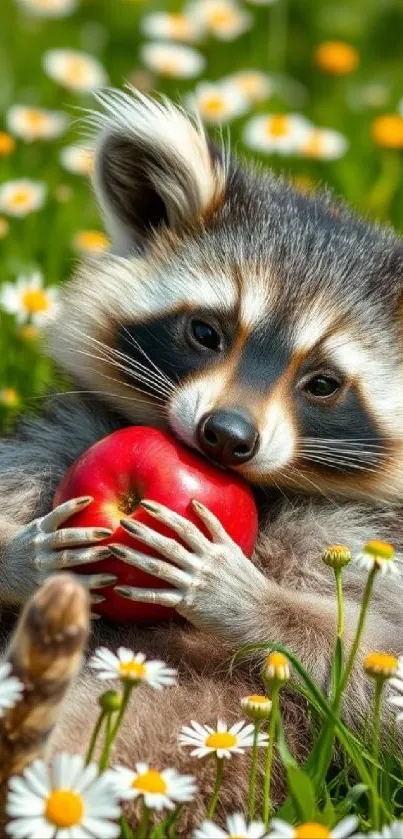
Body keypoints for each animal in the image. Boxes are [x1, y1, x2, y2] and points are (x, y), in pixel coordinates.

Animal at [0, 88, 403, 832]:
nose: (226, 435)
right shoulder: (61, 438)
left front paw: (242, 594)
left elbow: (376, 677)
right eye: (207, 332)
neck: (255, 486)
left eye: (323, 382)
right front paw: (21, 553)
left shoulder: (371, 541)